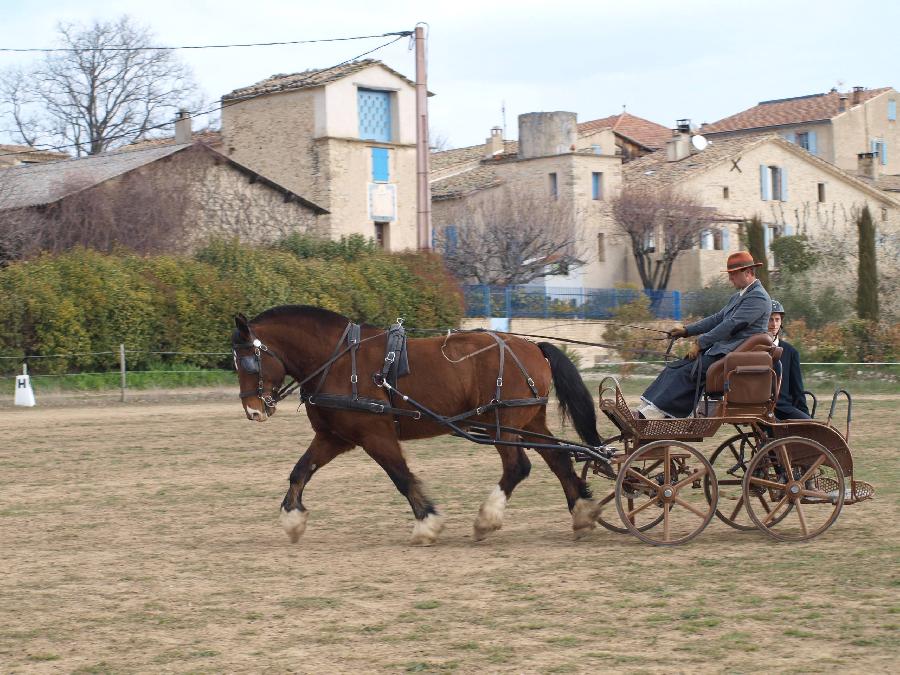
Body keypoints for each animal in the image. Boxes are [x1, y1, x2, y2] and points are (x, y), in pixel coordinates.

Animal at [234, 304, 604, 544]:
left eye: (250, 361)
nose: (254, 411)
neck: (338, 361)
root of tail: (532, 347)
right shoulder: (334, 436)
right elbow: (300, 471)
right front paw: (292, 520)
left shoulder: (375, 435)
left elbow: (400, 476)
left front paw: (427, 524)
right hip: (530, 420)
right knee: (558, 458)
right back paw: (582, 513)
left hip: (503, 424)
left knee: (518, 466)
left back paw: (486, 520)